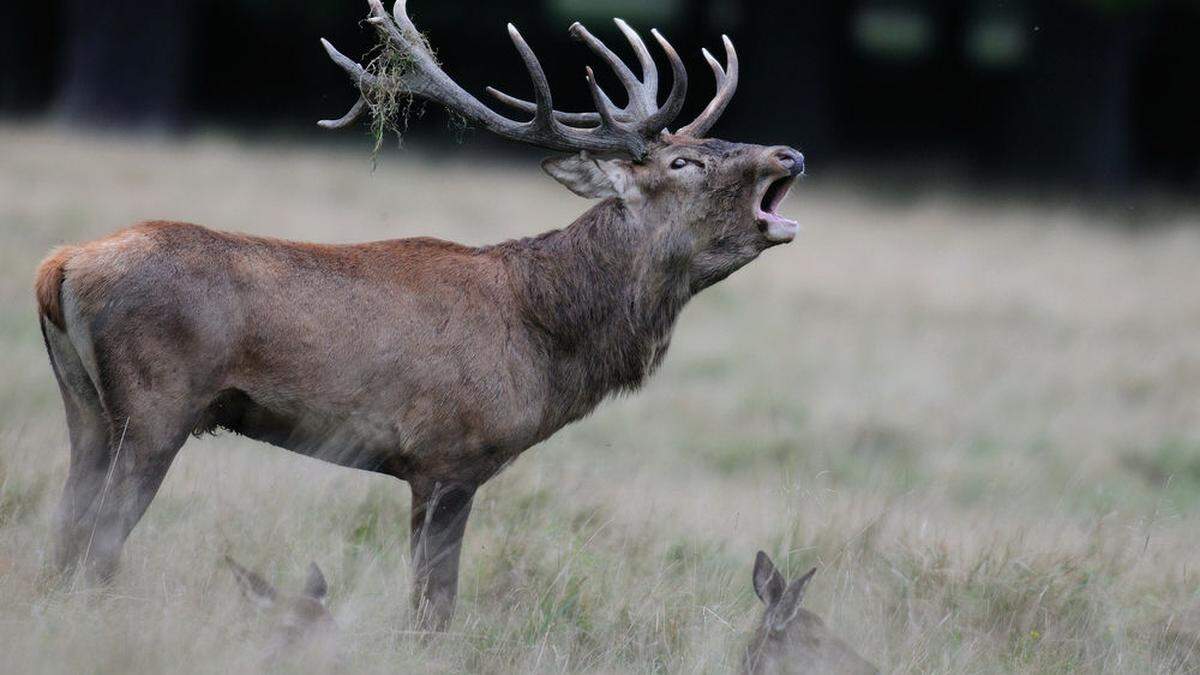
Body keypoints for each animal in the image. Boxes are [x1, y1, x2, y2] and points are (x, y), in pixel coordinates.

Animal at [35, 1, 806, 629]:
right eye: (683, 163)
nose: (788, 150)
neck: (546, 338)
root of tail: (60, 266)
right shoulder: (449, 456)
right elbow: (435, 605)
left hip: (86, 407)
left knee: (65, 531)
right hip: (156, 405)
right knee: (99, 541)